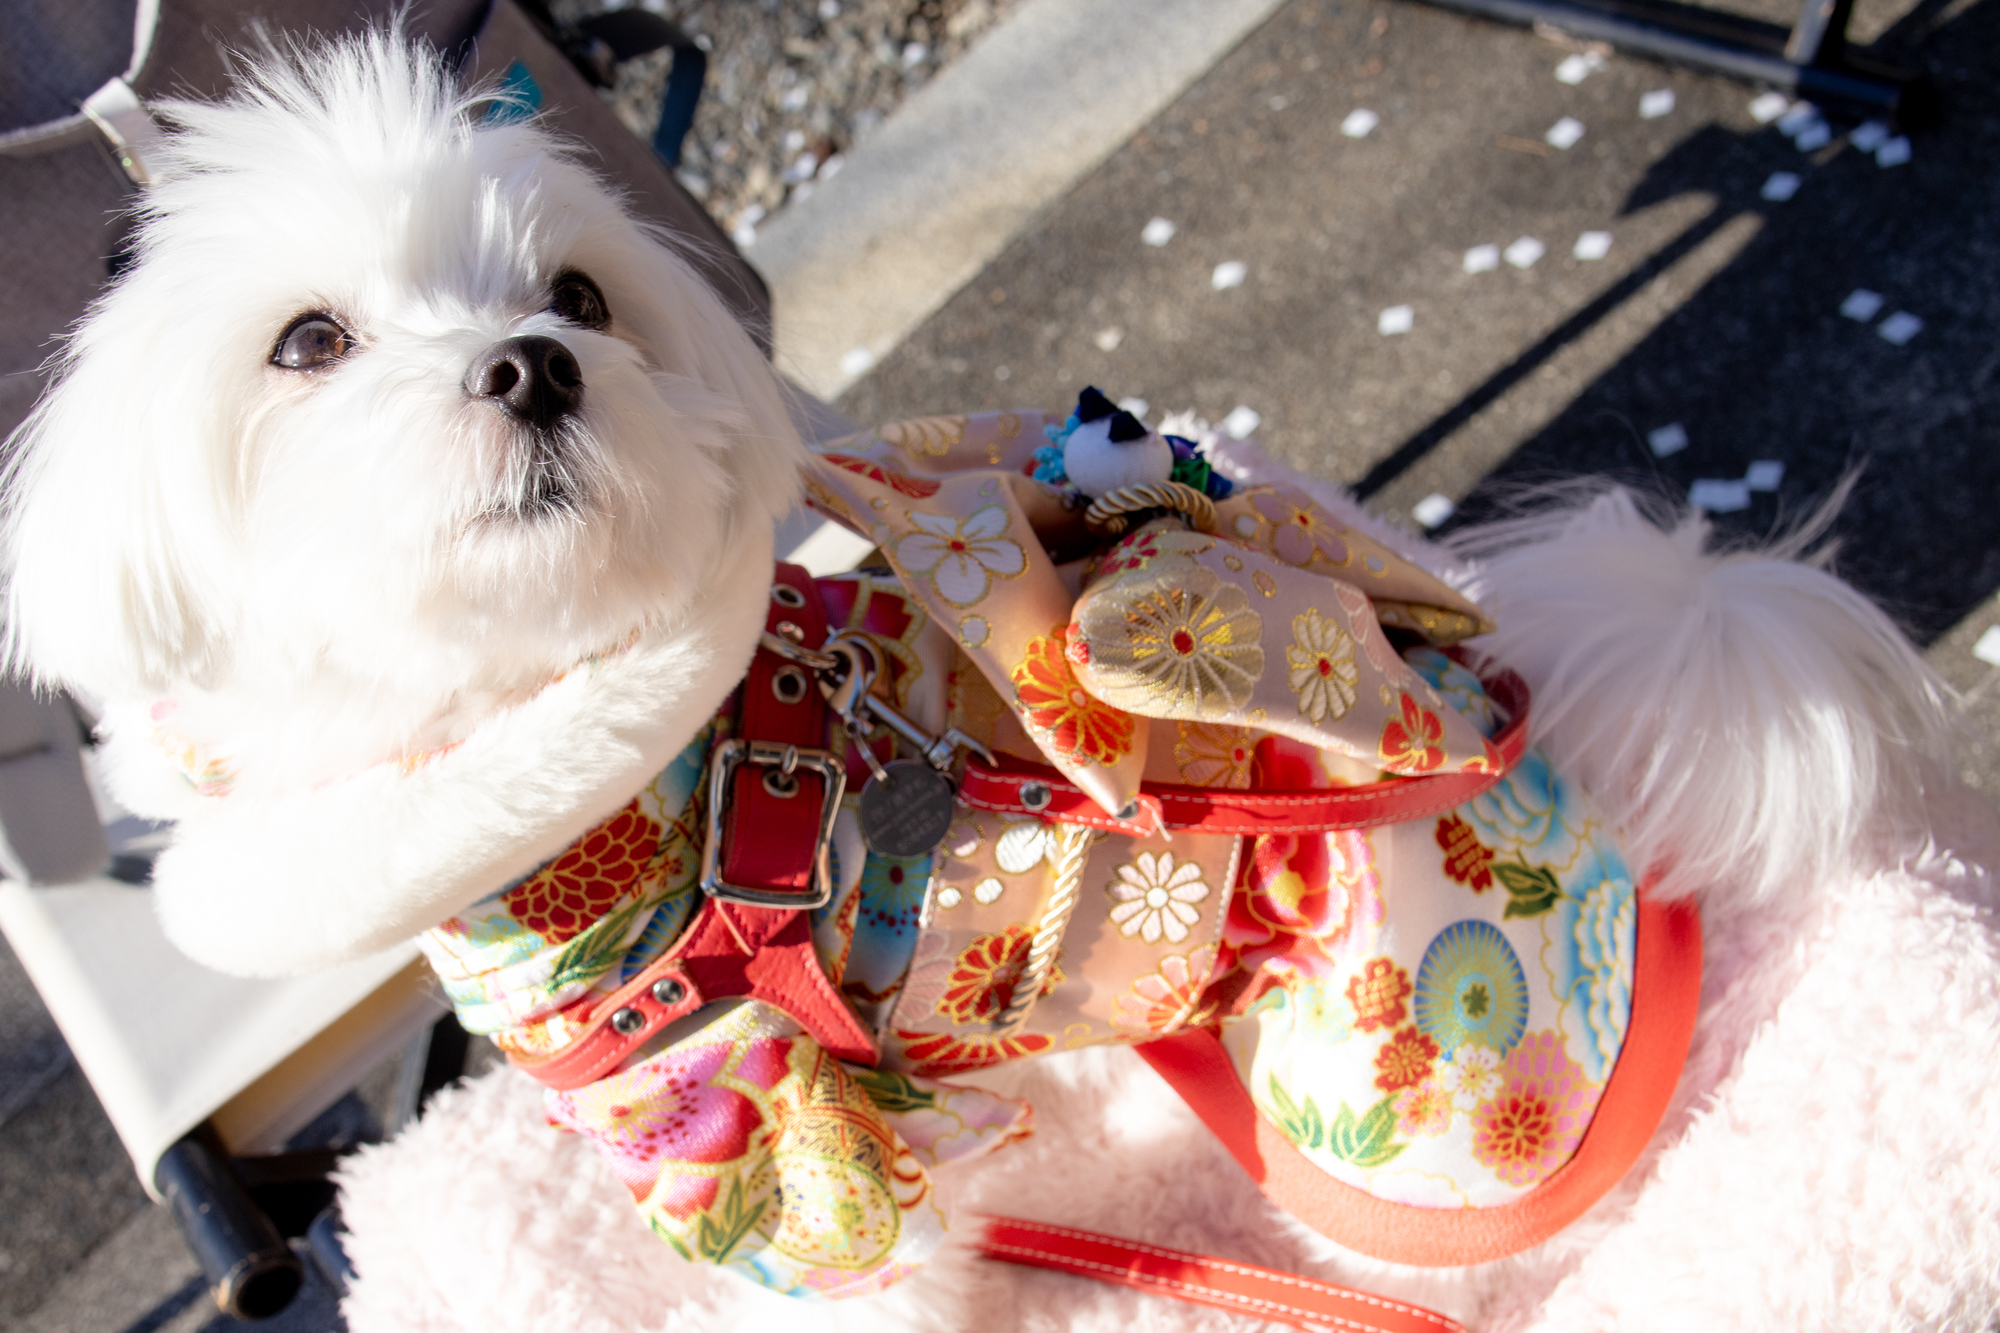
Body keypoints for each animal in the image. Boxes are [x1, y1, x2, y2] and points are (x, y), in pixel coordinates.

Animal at [7, 23, 1992, 1328]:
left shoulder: (770, 1131)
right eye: (307, 342)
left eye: (576, 295)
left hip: (1411, 1071)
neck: (589, 788)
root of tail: (1560, 735)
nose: (532, 366)